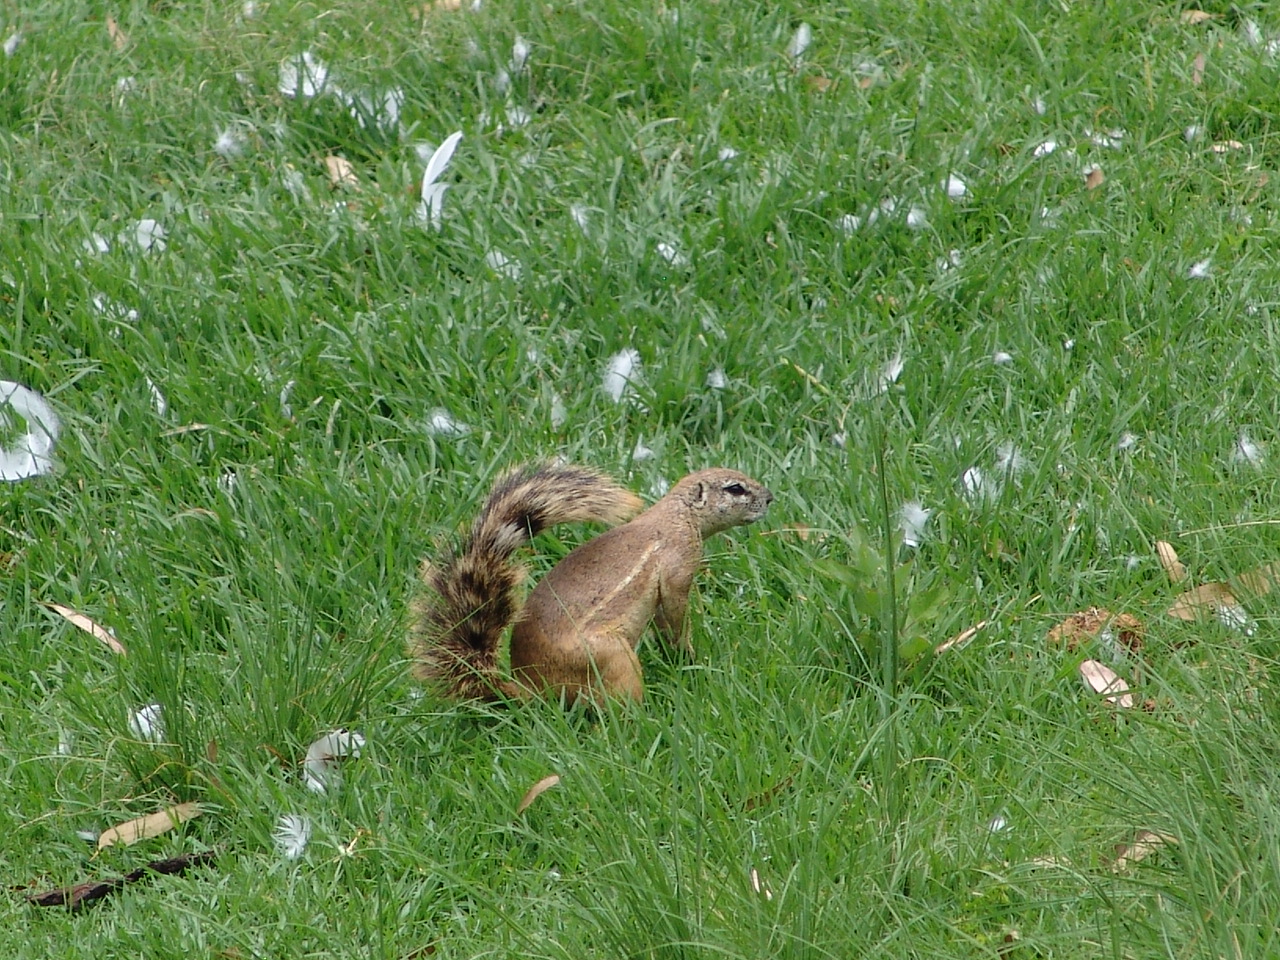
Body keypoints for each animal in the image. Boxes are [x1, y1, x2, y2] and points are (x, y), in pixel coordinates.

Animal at [409, 463, 773, 705]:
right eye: (735, 488)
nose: (770, 498)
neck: (678, 515)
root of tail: (531, 689)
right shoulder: (677, 568)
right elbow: (675, 613)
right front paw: (686, 654)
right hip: (613, 659)